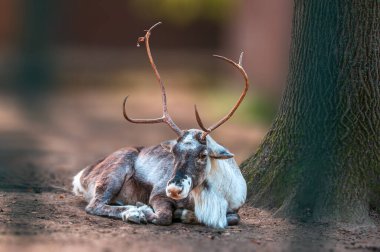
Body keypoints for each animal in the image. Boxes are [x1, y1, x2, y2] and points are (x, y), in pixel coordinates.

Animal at [72, 22, 248, 229]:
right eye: (174, 152)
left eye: (203, 155)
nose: (173, 189)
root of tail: (81, 176)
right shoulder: (157, 194)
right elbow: (163, 217)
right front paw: (144, 209)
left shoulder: (235, 209)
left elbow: (233, 219)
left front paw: (183, 213)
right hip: (115, 171)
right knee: (95, 205)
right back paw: (133, 212)